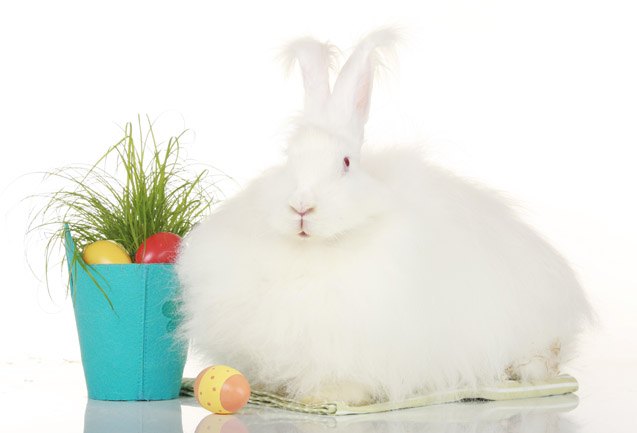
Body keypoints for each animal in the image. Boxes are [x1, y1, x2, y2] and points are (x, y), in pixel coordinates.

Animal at [174, 28, 592, 404]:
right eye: (289, 160)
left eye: (345, 163)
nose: (301, 207)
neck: (316, 252)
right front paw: (273, 389)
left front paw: (327, 396)